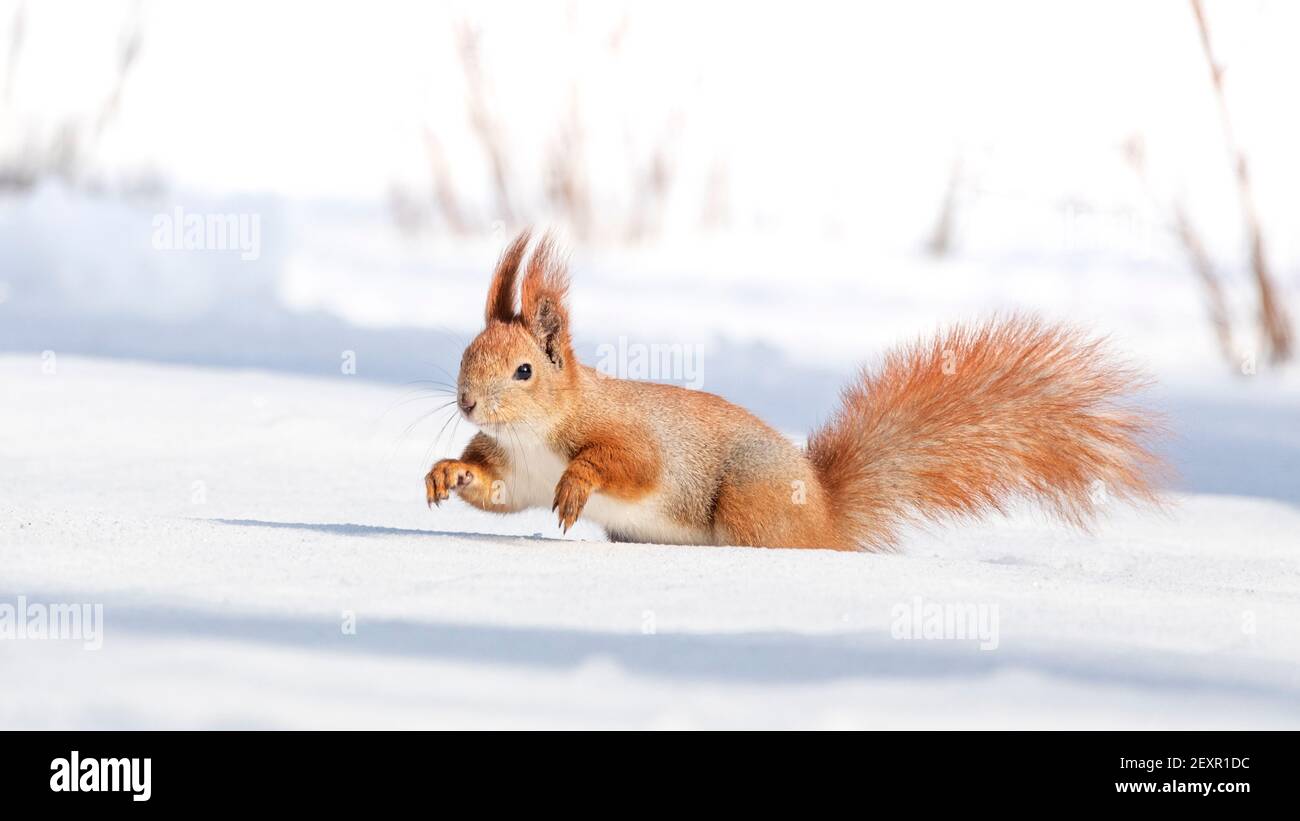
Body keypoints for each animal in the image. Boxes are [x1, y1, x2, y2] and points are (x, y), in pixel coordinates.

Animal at [428, 229, 1170, 550]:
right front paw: (446, 473)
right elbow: (497, 492)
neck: (535, 434)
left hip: (748, 502)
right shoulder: (519, 470)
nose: (467, 402)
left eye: (525, 371)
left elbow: (629, 465)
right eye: (466, 353)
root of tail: (827, 516)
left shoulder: (636, 438)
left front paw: (579, 483)